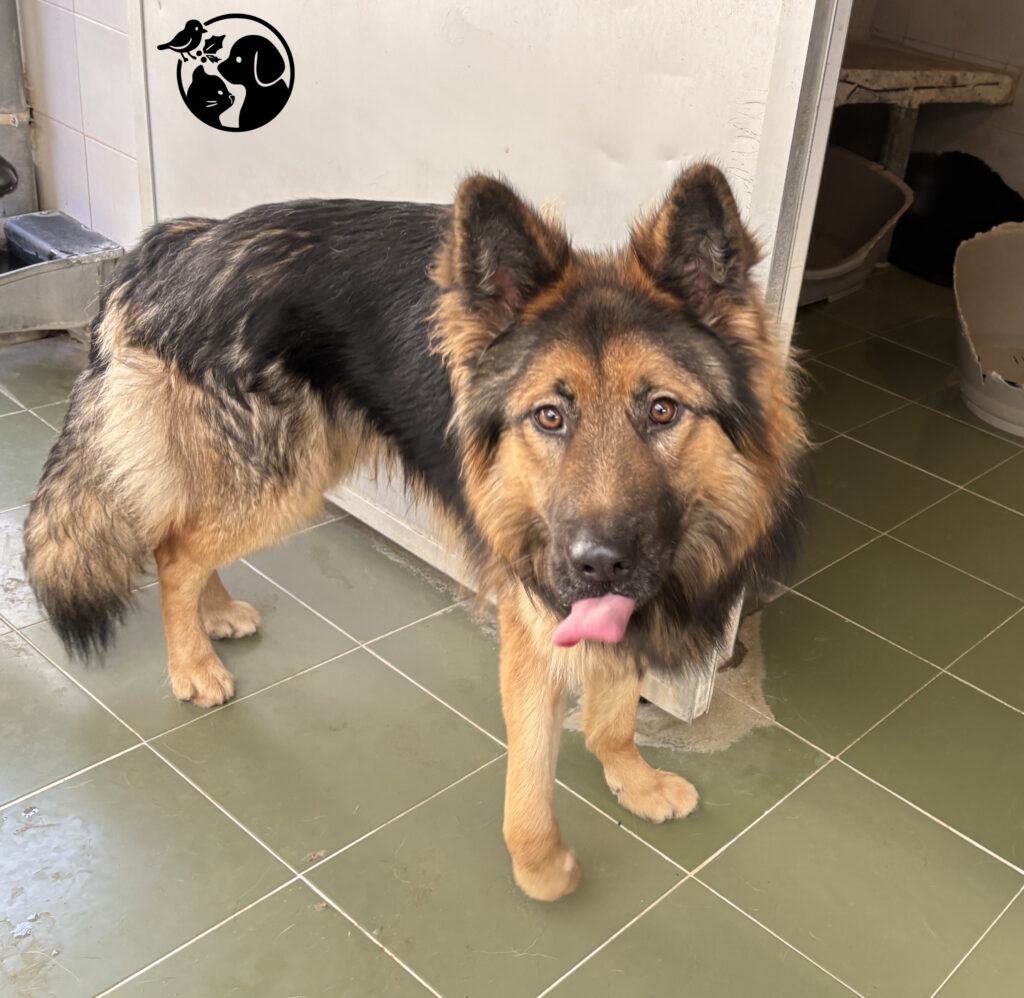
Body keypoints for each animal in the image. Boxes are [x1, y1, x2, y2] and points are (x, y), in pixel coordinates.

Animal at [24, 165, 807, 901]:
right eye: (549, 417)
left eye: (663, 410)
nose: (597, 564)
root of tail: (180, 240)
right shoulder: (536, 617)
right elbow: (533, 762)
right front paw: (539, 864)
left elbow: (616, 709)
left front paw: (631, 779)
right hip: (286, 478)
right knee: (173, 548)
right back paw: (191, 663)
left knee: (188, 533)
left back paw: (212, 614)